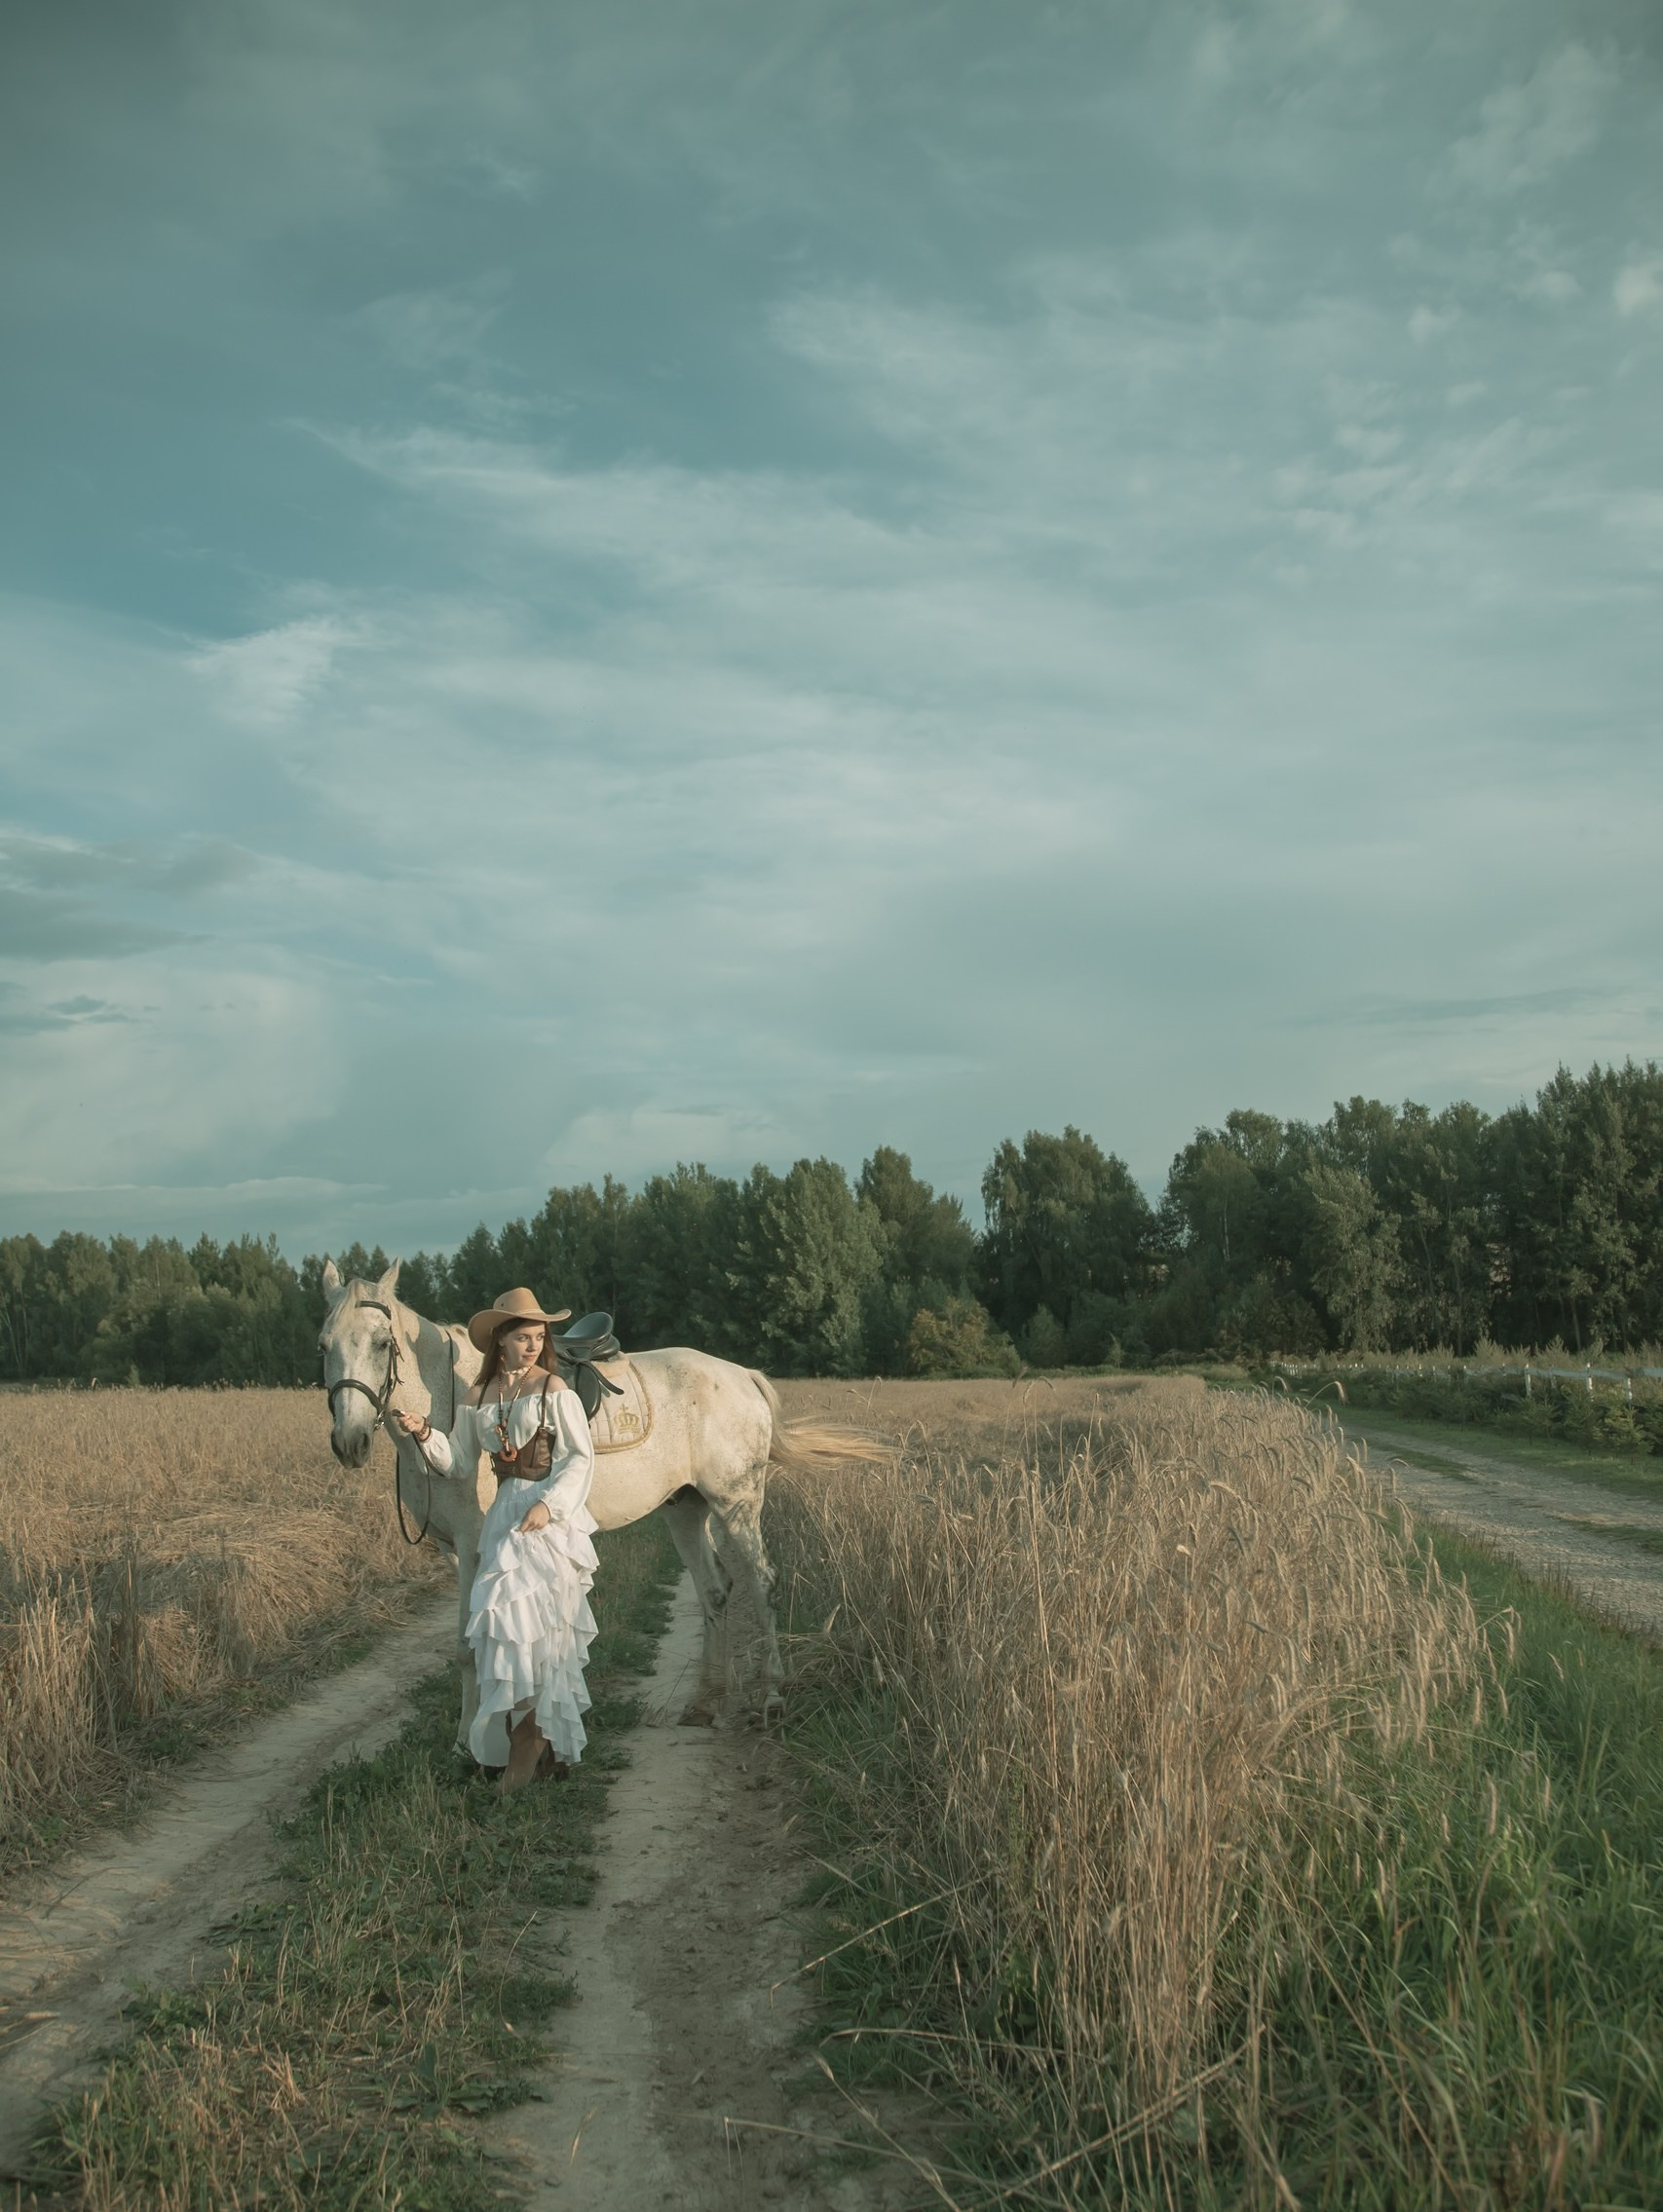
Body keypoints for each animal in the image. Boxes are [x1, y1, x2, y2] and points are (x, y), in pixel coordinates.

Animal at [317, 1259, 868, 1753]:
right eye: (324, 1346)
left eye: (381, 1343)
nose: (349, 1442)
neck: (448, 1401)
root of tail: (743, 1375)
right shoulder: (454, 1552)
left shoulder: (475, 1547)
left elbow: (473, 1646)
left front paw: (472, 1744)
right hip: (685, 1508)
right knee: (714, 1590)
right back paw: (705, 1704)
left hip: (737, 1502)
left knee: (762, 1582)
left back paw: (772, 1696)